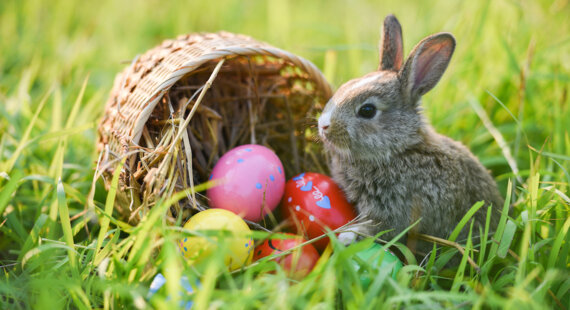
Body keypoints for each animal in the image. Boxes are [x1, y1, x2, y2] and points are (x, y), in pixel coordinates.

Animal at [318, 14, 504, 254]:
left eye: (367, 110)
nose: (323, 125)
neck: (399, 150)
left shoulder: (395, 211)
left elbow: (380, 228)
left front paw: (346, 238)